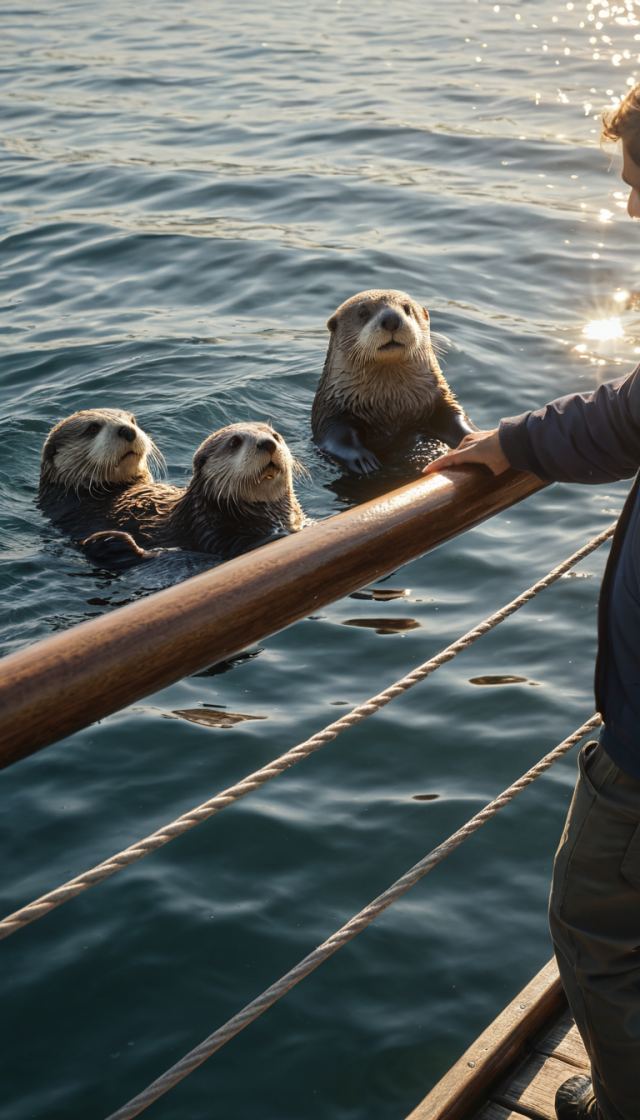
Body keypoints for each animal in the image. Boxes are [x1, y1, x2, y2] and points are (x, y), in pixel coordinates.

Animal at [311, 289, 475, 475]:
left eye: (407, 308)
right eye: (363, 313)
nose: (391, 319)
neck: (391, 406)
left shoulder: (439, 399)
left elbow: (456, 418)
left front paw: (473, 438)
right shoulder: (332, 412)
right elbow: (336, 436)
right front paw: (364, 461)